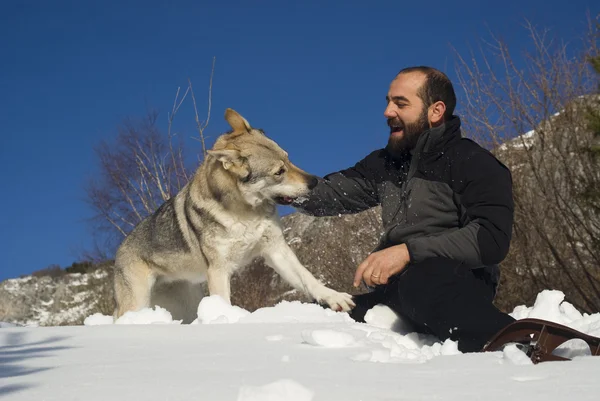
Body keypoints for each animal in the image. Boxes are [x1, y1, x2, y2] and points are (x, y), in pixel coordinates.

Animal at [113, 107, 356, 318]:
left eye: (288, 158)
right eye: (279, 172)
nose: (314, 182)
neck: (245, 213)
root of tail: (118, 251)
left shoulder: (276, 250)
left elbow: (308, 277)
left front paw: (334, 297)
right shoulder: (219, 271)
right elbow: (224, 302)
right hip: (138, 302)